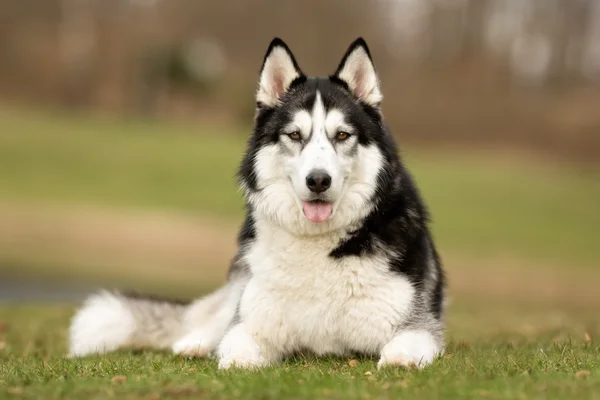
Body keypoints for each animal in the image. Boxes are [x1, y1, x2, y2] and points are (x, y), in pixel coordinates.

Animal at [69, 37, 446, 368]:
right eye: (294, 135)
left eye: (342, 135)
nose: (318, 180)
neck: (317, 243)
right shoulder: (250, 324)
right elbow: (235, 348)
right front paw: (228, 358)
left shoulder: (418, 327)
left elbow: (404, 347)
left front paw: (398, 360)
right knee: (214, 320)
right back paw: (194, 344)